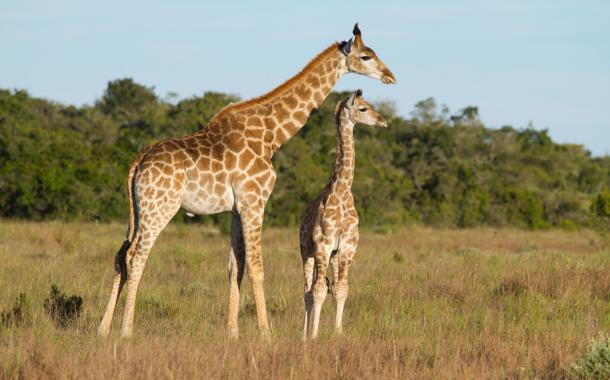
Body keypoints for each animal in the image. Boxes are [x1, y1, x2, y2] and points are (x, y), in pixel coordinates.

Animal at [298, 90, 384, 338]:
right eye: (363, 108)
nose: (383, 121)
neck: (343, 190)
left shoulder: (347, 244)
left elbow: (341, 289)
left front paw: (338, 333)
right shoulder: (323, 244)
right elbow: (318, 290)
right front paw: (314, 335)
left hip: (334, 255)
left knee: (331, 286)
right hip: (306, 251)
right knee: (307, 289)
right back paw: (304, 335)